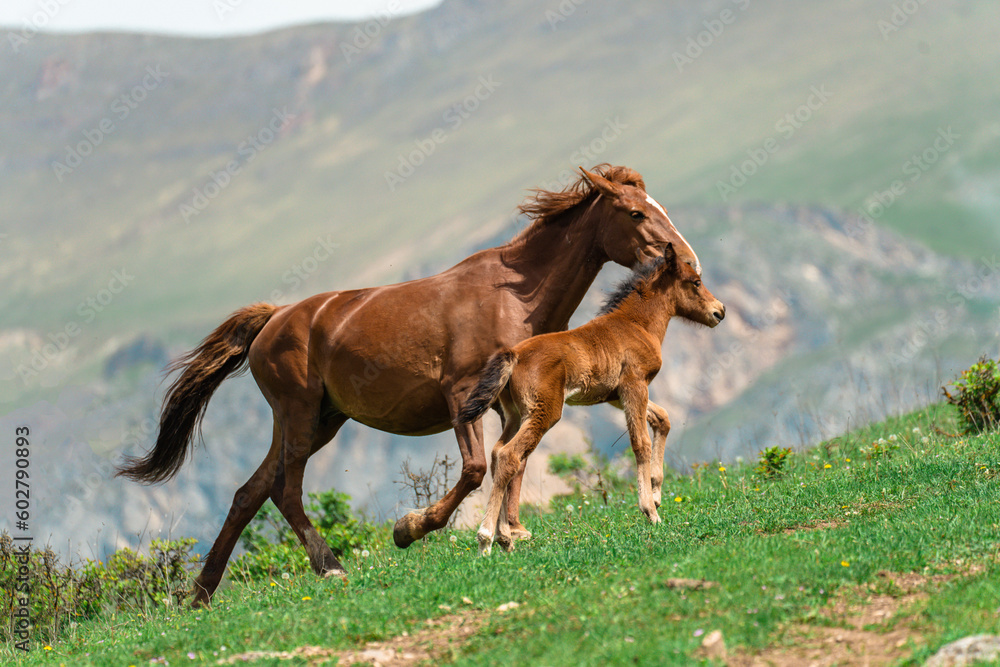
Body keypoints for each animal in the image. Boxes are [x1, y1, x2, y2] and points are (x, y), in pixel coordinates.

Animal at [456, 243, 724, 555]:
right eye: (695, 282)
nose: (720, 311)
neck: (636, 324)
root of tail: (515, 354)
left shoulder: (615, 395)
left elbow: (663, 418)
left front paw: (657, 493)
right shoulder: (634, 385)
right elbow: (640, 443)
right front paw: (650, 511)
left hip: (515, 414)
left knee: (498, 453)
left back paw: (505, 538)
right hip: (544, 412)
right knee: (510, 455)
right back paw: (486, 538)